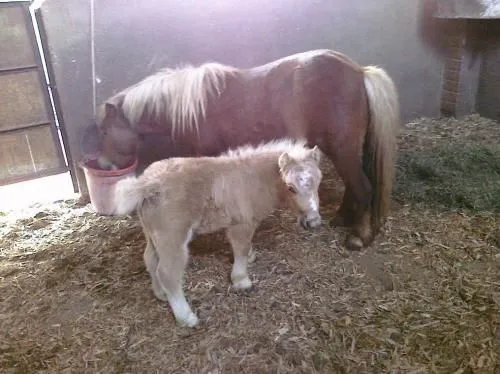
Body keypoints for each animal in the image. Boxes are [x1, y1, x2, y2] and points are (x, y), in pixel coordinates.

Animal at [94, 49, 400, 248]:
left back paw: (359, 236)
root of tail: (359, 72)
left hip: (342, 149)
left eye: (105, 131)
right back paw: (341, 219)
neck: (193, 106)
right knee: (355, 186)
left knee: (363, 187)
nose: (105, 166)